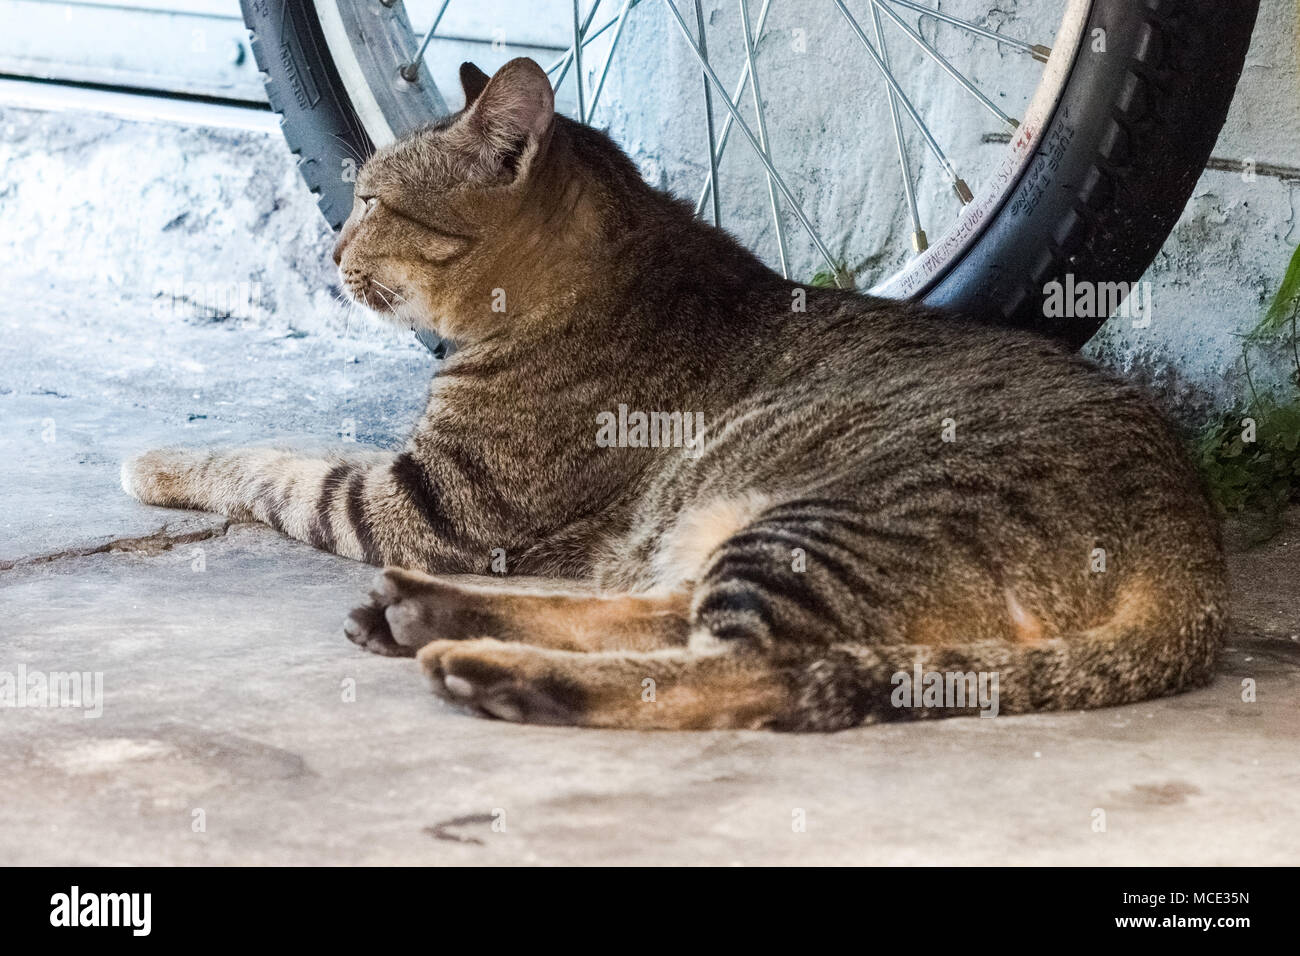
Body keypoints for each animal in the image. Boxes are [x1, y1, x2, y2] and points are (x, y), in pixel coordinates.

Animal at [116, 57, 1222, 733]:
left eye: (374, 202)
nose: (328, 246)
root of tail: (1189, 559)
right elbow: (300, 451)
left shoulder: (427, 504)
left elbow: (277, 466)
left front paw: (158, 458)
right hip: (750, 526)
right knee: (670, 616)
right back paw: (429, 613)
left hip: (828, 523)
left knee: (751, 668)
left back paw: (493, 668)